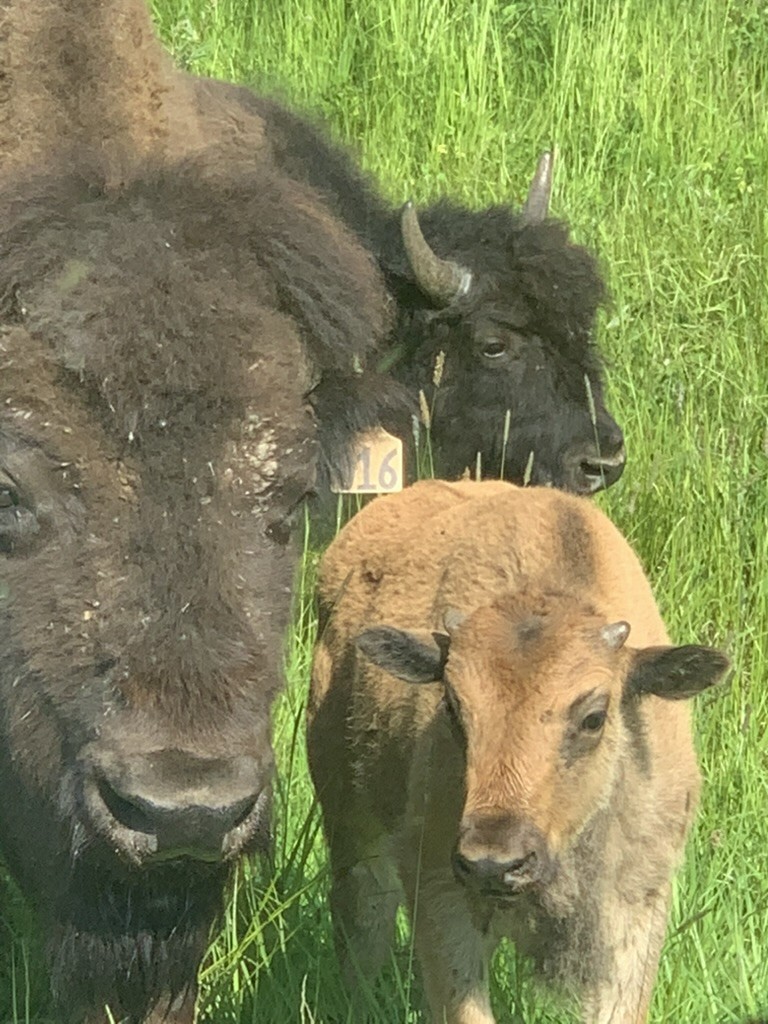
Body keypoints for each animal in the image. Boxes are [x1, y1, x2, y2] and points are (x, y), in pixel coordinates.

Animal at [308, 479, 729, 1023]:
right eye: (452, 705)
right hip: (350, 820)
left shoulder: (637, 905)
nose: (494, 863)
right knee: (364, 917)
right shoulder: (441, 890)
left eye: (594, 716)